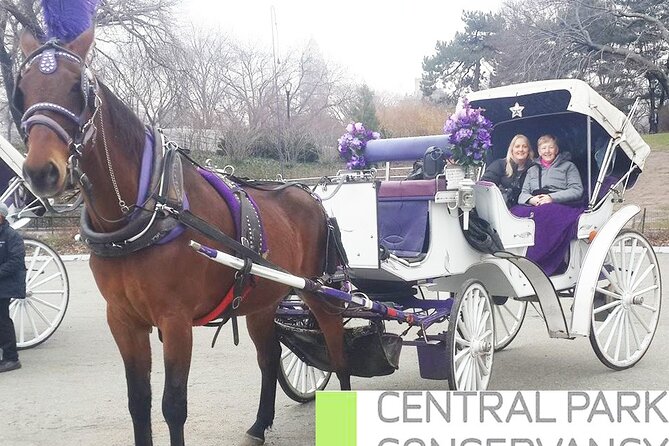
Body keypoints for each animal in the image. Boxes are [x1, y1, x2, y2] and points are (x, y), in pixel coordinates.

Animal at [17, 28, 350, 446]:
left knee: (337, 346)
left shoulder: (175, 321)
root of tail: (311, 195)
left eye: (79, 88)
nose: (40, 172)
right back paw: (259, 424)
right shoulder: (122, 320)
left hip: (319, 292)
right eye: (21, 89)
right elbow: (138, 401)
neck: (146, 211)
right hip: (262, 300)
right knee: (270, 357)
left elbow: (173, 405)